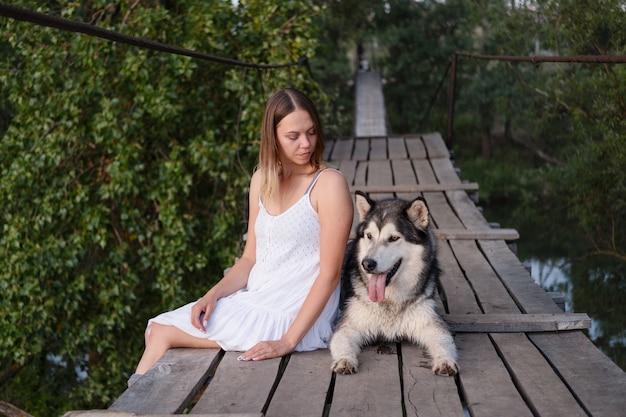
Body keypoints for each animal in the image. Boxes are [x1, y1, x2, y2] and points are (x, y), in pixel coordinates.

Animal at [330, 190, 456, 376]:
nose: (367, 264)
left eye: (394, 238)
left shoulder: (430, 322)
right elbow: (342, 342)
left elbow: (444, 340)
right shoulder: (348, 324)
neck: (389, 300)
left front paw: (445, 360)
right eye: (369, 236)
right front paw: (345, 359)